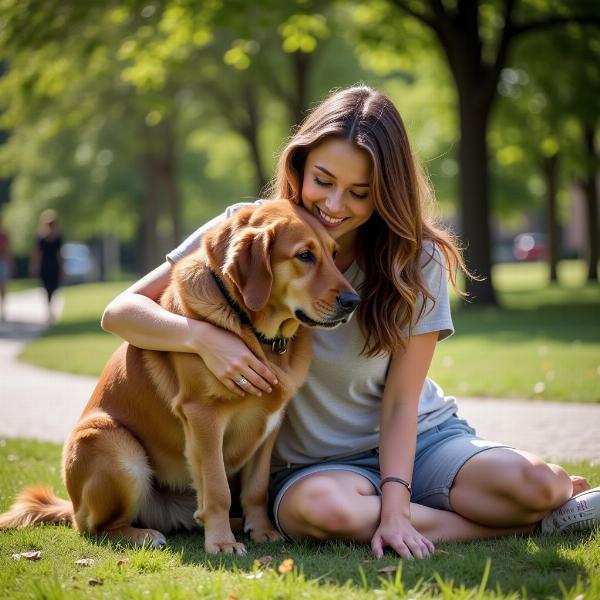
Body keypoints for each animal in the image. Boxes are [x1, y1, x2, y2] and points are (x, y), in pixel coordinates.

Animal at [0, 199, 358, 556]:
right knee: (96, 527)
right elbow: (217, 488)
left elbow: (255, 489)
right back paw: (143, 535)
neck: (255, 330)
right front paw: (222, 542)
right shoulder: (202, 415)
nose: (353, 301)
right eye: (305, 255)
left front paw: (262, 531)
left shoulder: (270, 422)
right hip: (114, 445)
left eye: (333, 253)